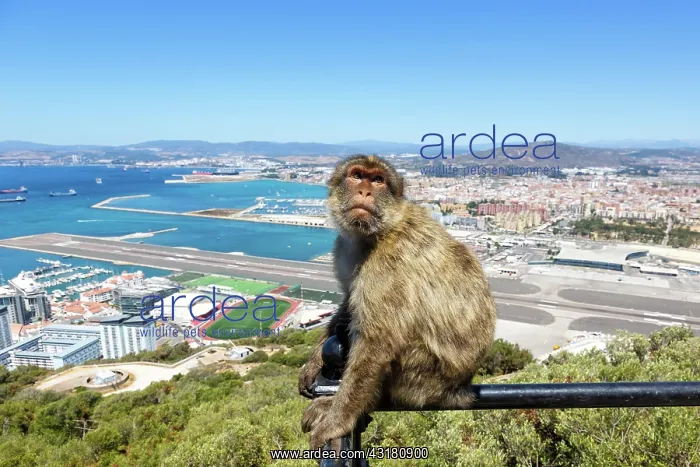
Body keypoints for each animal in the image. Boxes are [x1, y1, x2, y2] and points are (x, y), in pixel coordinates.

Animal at [298, 154, 497, 450]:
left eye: (379, 180)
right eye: (357, 175)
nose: (365, 191)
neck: (374, 234)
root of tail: (458, 390)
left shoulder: (387, 264)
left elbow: (378, 340)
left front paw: (337, 422)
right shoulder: (344, 249)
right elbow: (349, 302)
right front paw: (314, 361)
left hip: (421, 380)